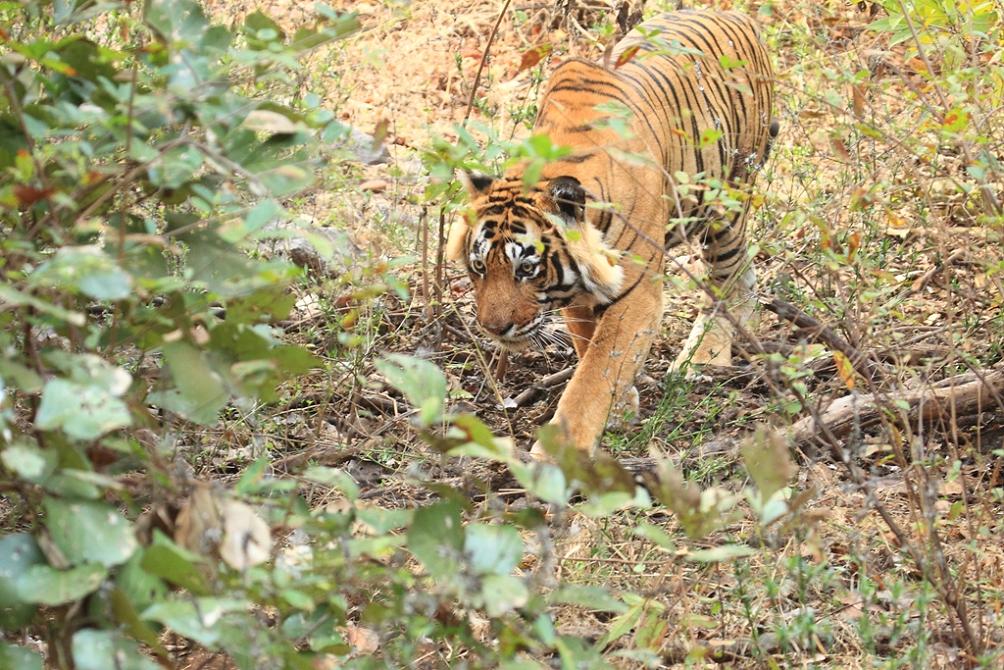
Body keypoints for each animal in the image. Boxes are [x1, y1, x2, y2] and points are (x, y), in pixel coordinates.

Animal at [445, 9, 775, 456]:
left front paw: (559, 452)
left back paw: (705, 355)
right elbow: (592, 352)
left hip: (726, 198)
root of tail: (736, 13)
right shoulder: (577, 297)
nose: (495, 330)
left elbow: (596, 371)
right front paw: (622, 408)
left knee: (728, 274)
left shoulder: (636, 294)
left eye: (526, 270)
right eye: (479, 267)